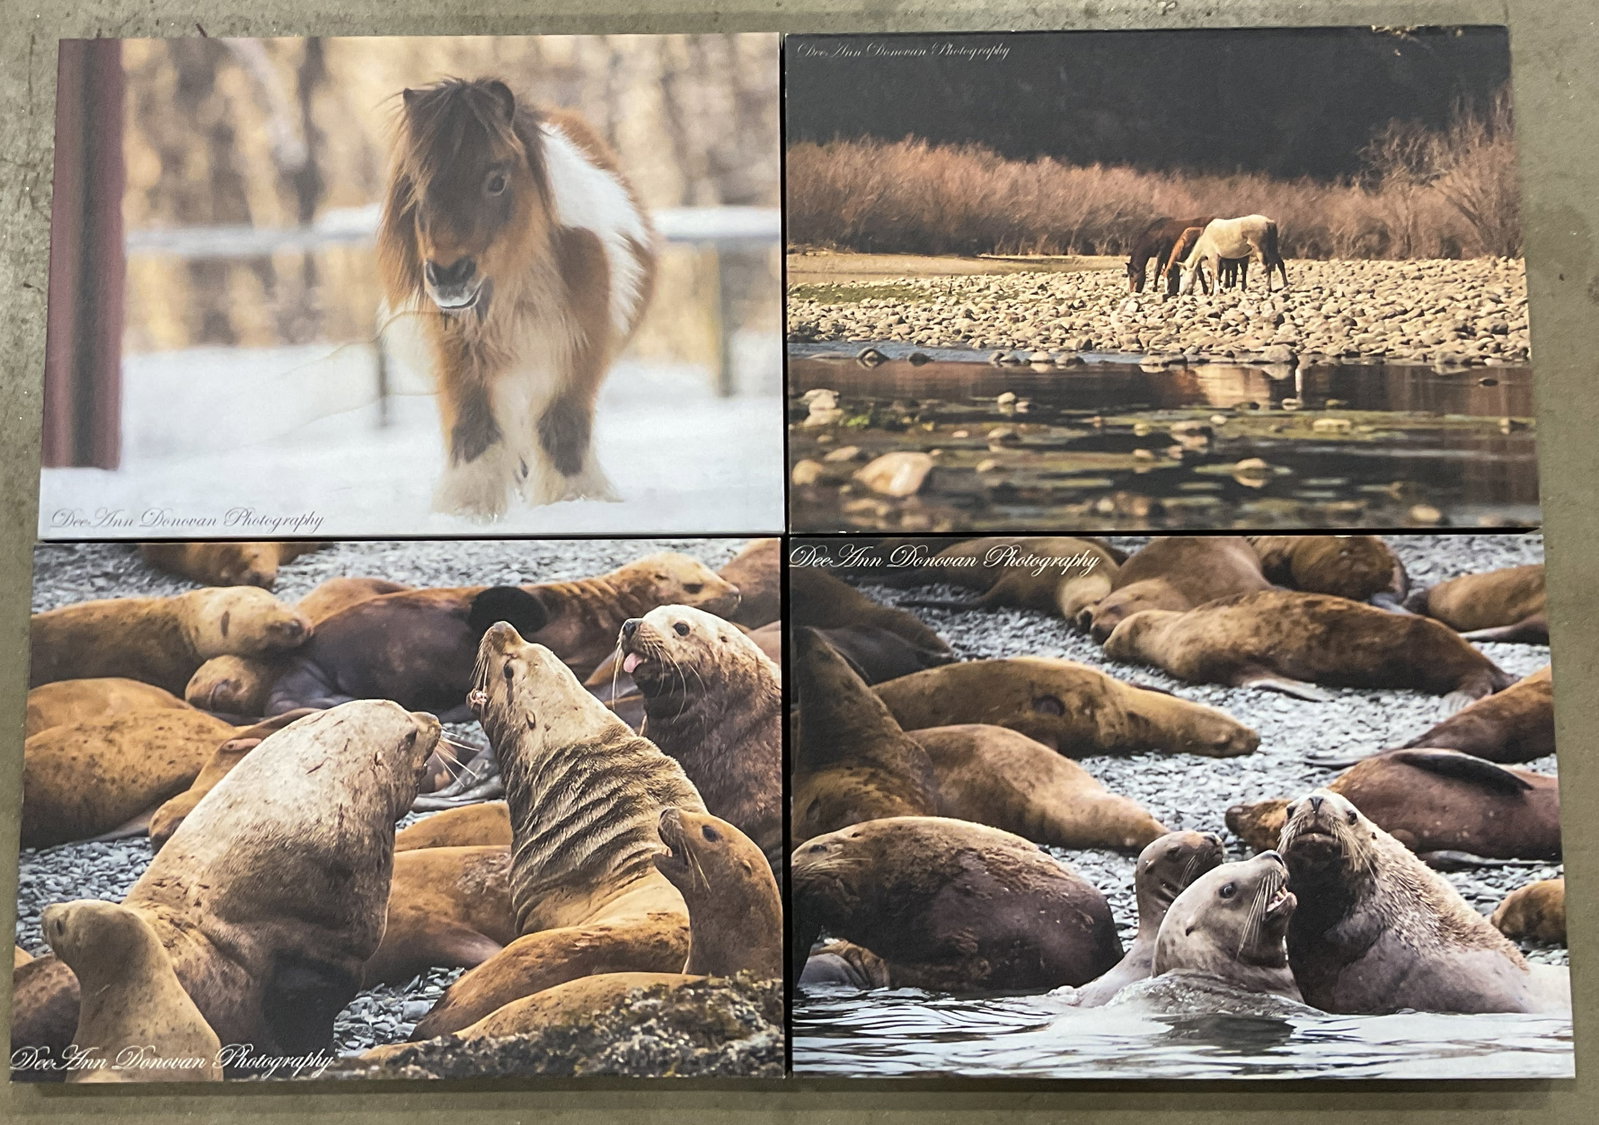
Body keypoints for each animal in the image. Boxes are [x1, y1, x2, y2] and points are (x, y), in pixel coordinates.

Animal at [378, 78, 657, 520]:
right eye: (417, 186)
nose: (449, 275)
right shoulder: (460, 357)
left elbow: (563, 429)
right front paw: (467, 508)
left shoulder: (579, 352)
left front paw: (573, 500)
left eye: (496, 180)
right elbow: (475, 430)